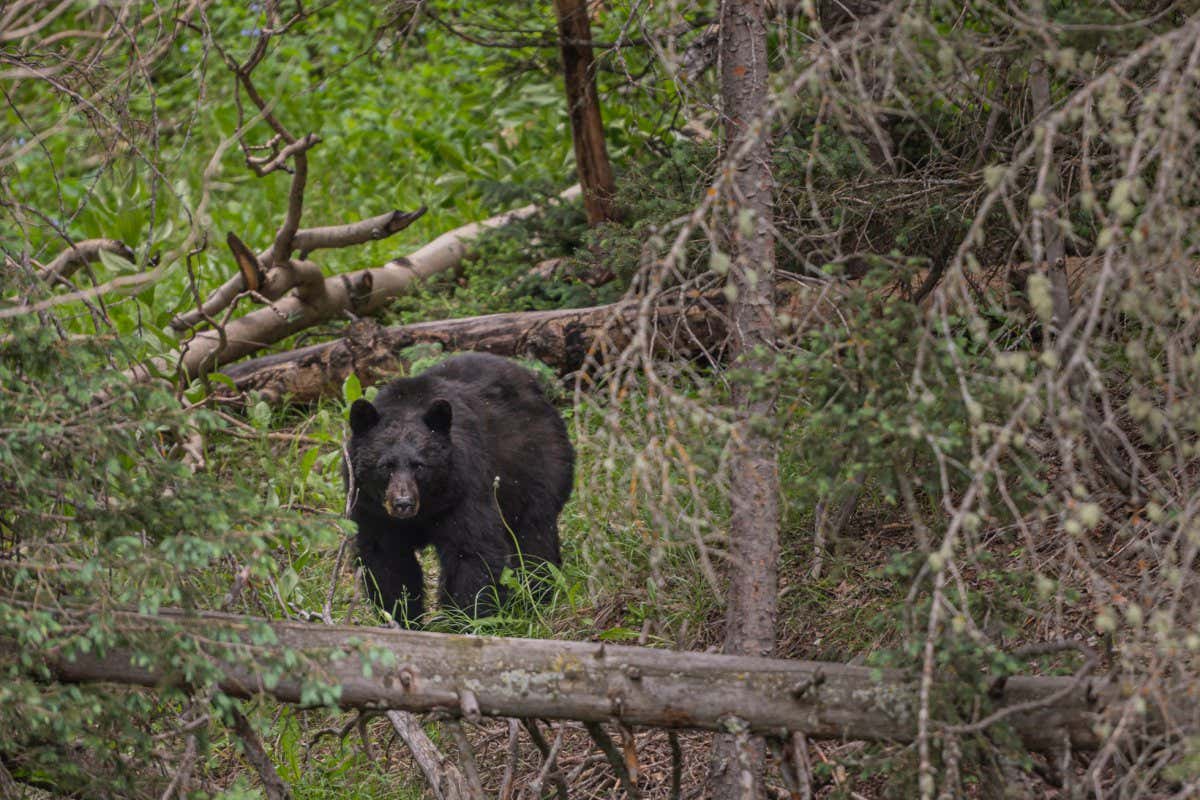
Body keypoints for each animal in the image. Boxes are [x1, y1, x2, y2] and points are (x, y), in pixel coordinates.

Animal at [344, 352, 574, 624]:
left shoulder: (463, 489)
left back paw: (535, 594)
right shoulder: (372, 510)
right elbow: (387, 560)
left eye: (419, 465)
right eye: (385, 466)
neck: (428, 506)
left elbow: (471, 551)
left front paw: (466, 620)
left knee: (533, 535)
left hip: (536, 466)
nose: (403, 504)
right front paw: (402, 618)